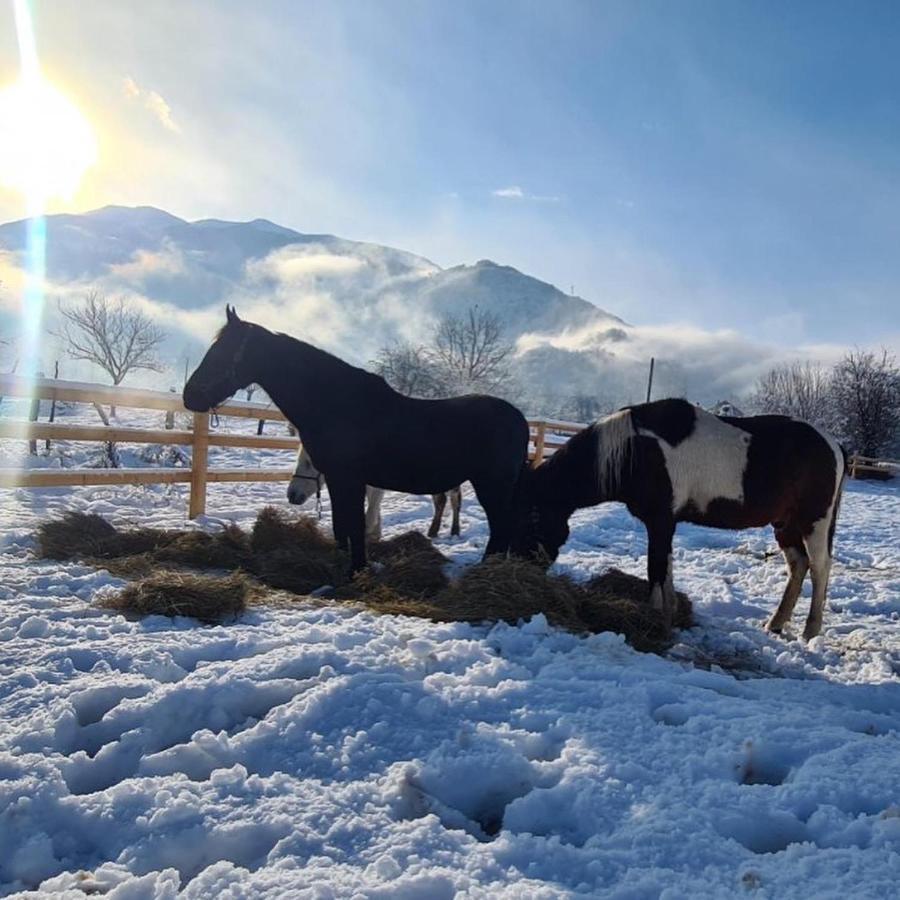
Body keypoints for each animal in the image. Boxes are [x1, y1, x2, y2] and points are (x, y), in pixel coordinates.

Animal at [286, 444, 464, 540]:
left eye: (309, 462)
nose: (291, 495)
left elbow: (370, 513)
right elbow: (373, 509)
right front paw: (376, 536)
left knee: (454, 500)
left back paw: (454, 531)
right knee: (441, 501)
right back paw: (433, 531)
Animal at [512, 400, 844, 640]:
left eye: (531, 516)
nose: (524, 565)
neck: (637, 448)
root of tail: (834, 445)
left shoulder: (661, 521)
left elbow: (657, 569)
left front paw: (659, 620)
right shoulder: (660, 523)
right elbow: (662, 570)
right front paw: (667, 613)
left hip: (814, 522)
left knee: (819, 567)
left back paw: (810, 631)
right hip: (785, 524)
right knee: (798, 565)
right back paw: (775, 623)